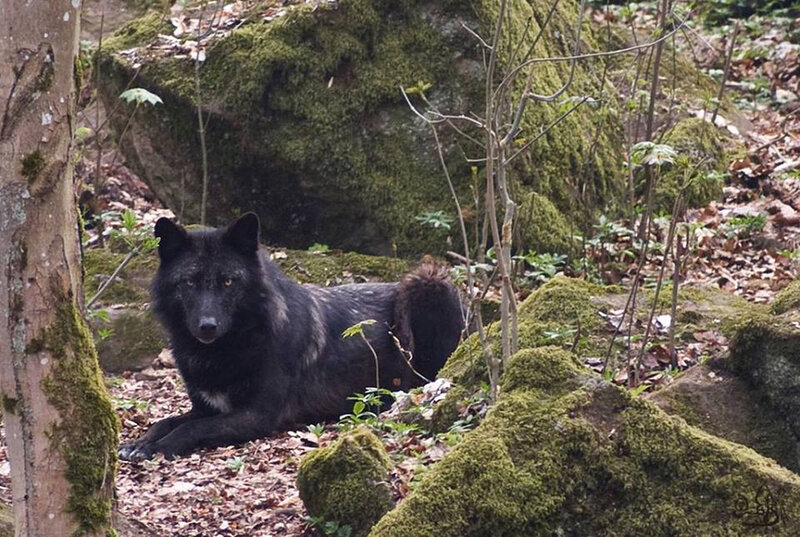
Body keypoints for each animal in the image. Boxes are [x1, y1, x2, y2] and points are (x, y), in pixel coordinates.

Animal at [119, 213, 464, 460]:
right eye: (189, 282)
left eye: (228, 281)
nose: (207, 326)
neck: (234, 345)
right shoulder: (206, 407)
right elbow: (167, 421)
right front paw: (139, 442)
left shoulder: (257, 415)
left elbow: (192, 427)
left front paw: (156, 448)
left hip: (426, 282)